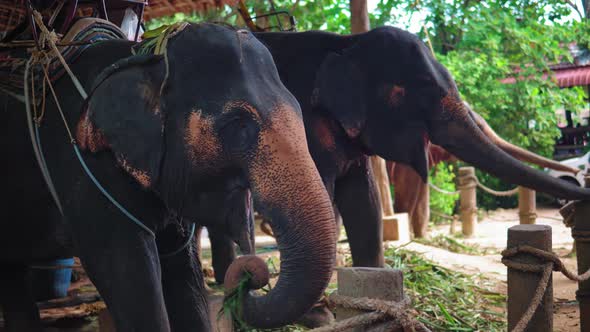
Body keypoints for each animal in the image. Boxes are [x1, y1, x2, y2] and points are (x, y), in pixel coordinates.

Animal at [2, 22, 338, 330]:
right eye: (239, 124)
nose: (248, 274)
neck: (146, 59)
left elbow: (183, 271)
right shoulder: (83, 166)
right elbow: (125, 271)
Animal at [386, 110, 580, 237]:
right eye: (477, 126)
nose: (577, 170)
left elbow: (421, 196)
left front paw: (421, 238)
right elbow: (408, 190)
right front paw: (412, 237)